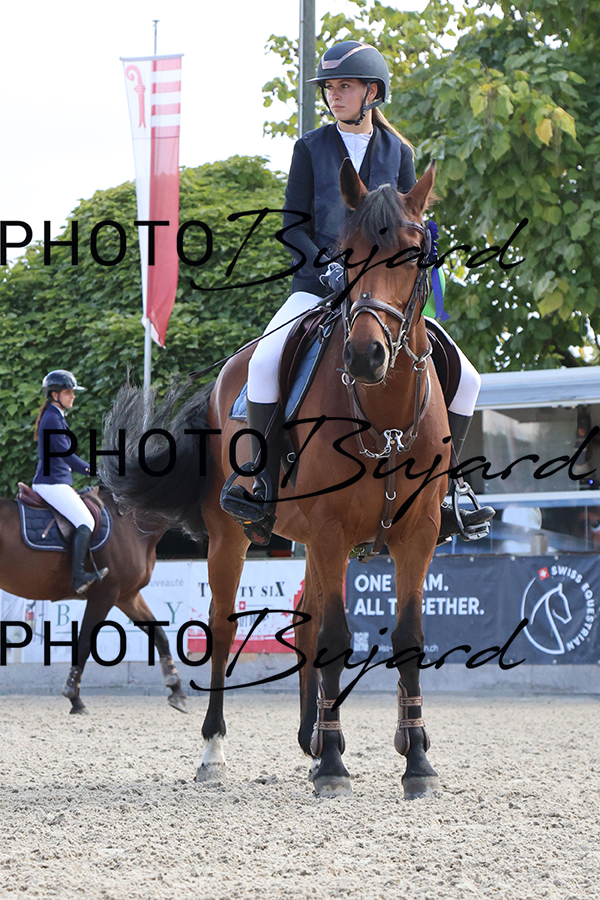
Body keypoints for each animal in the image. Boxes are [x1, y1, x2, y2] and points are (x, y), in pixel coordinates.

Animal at [0, 486, 187, 714]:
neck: (132, 525)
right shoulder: (104, 594)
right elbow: (84, 643)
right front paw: (74, 698)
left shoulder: (127, 596)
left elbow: (160, 635)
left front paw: (177, 691)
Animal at [102, 160, 449, 798]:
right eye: (346, 253)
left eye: (413, 255)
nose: (366, 356)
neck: (383, 413)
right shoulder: (333, 531)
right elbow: (336, 639)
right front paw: (335, 766)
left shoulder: (417, 535)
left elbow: (406, 640)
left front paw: (414, 760)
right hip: (232, 536)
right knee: (222, 629)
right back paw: (217, 751)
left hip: (310, 543)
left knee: (306, 626)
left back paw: (312, 740)